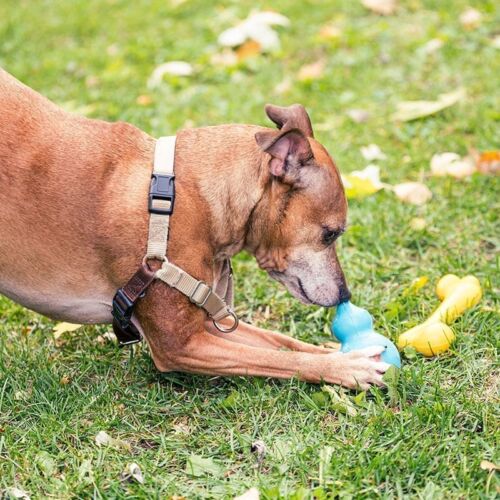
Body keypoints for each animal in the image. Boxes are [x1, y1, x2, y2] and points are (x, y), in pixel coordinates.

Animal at [0, 67, 388, 386]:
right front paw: (348, 367)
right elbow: (278, 359)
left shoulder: (212, 324)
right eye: (331, 234)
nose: (345, 295)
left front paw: (338, 352)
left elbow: (284, 343)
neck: (188, 195)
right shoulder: (181, 343)